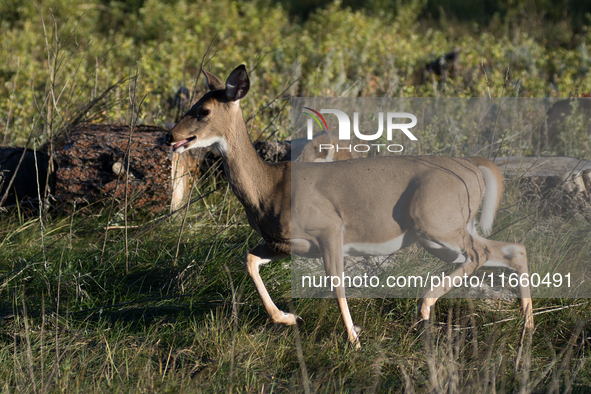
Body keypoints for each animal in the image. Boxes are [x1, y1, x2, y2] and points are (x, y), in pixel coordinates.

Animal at [168, 65, 536, 348]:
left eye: (203, 111)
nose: (171, 136)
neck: (268, 188)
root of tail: (474, 166)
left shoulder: (330, 227)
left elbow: (337, 284)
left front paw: (354, 340)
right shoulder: (282, 243)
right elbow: (250, 260)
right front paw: (289, 317)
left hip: (434, 220)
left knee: (483, 253)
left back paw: (425, 307)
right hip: (445, 230)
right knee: (511, 249)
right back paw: (526, 328)